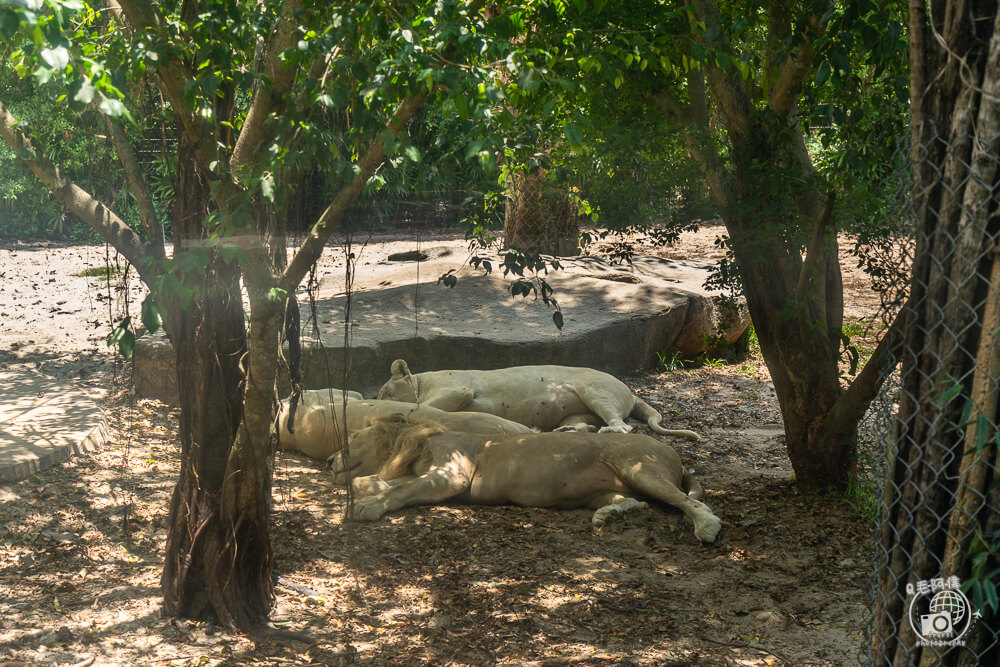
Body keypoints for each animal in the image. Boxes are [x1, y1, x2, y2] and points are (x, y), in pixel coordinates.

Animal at [332, 420, 724, 544]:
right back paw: (605, 518)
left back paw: (707, 527)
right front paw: (364, 490)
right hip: (606, 490)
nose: (327, 460)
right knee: (637, 503)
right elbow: (375, 481)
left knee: (690, 502)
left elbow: (400, 488)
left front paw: (366, 506)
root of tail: (675, 454)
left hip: (638, 467)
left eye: (351, 440)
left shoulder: (453, 475)